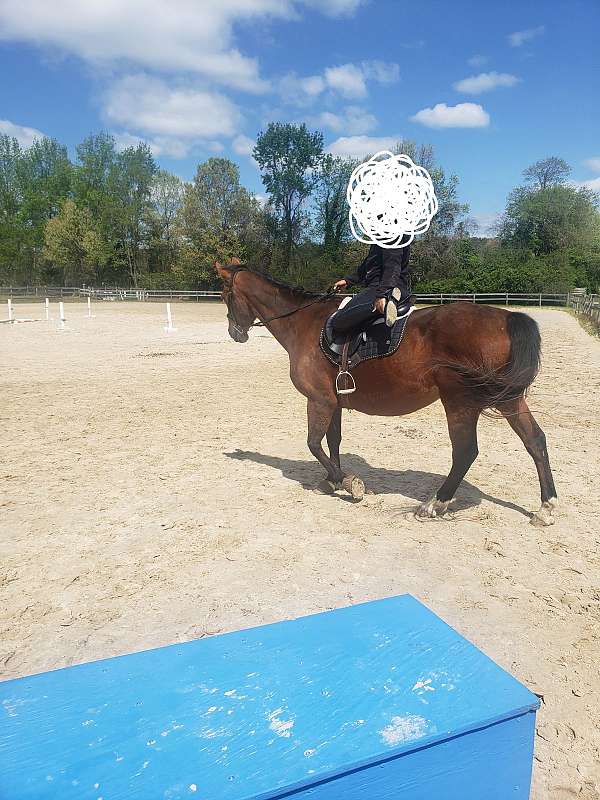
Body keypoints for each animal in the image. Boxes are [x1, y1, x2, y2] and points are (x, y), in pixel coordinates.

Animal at [215, 260, 558, 527]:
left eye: (226, 295)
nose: (234, 333)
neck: (304, 323)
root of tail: (506, 317)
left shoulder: (319, 400)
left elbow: (313, 443)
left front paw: (349, 483)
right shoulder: (334, 401)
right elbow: (333, 441)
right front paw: (332, 480)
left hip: (460, 402)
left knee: (465, 452)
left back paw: (434, 504)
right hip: (510, 400)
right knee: (535, 441)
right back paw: (546, 507)